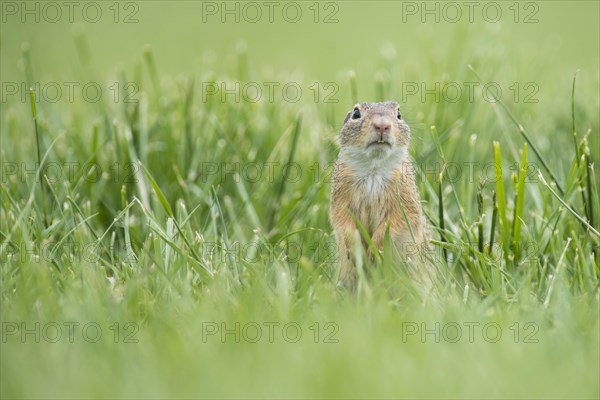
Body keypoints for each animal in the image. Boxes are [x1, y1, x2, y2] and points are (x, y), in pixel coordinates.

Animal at [330, 101, 428, 286]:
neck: (373, 169)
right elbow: (342, 220)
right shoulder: (340, 195)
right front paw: (357, 251)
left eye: (399, 114)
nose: (382, 125)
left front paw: (375, 252)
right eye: (355, 114)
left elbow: (398, 222)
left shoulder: (404, 196)